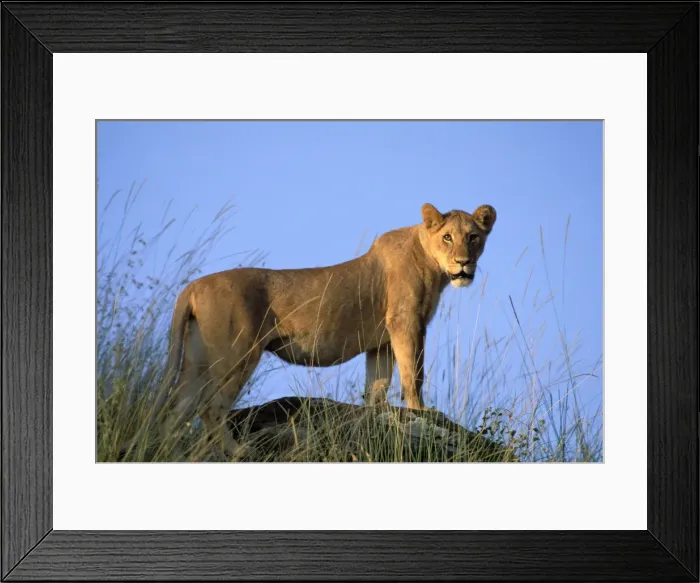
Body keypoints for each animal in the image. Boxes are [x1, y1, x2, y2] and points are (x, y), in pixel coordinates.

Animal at [132, 202, 496, 459]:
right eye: (447, 237)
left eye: (473, 237)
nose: (463, 262)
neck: (431, 262)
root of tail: (192, 286)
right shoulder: (406, 322)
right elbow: (413, 373)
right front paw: (422, 412)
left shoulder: (380, 342)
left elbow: (377, 385)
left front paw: (377, 418)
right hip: (236, 353)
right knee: (210, 407)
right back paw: (238, 451)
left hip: (197, 359)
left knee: (178, 408)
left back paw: (171, 452)